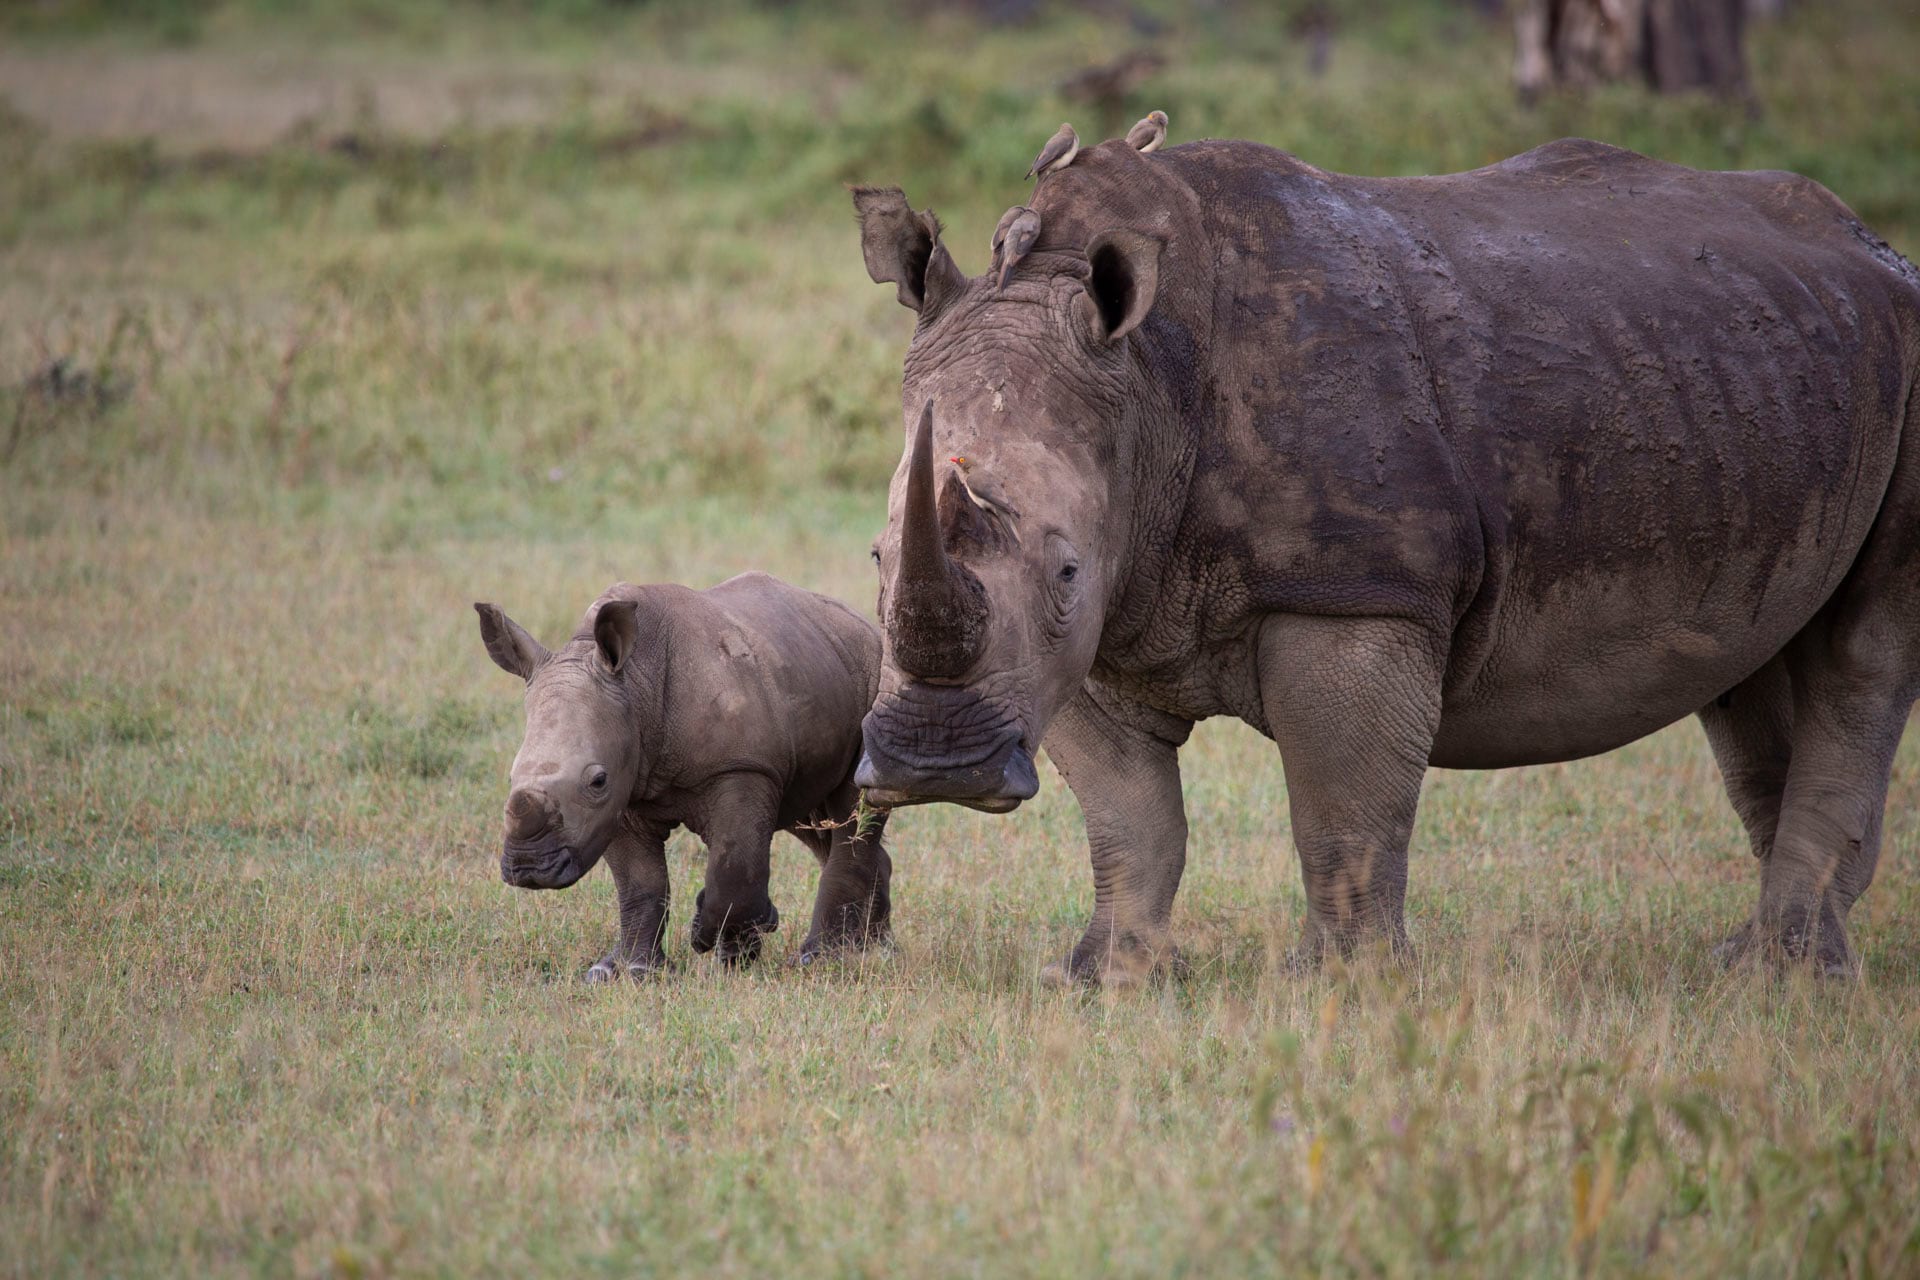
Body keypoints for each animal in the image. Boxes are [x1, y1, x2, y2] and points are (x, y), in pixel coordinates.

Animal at [480, 575, 898, 974]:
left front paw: (716, 939)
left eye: (596, 780)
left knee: (848, 813)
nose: (529, 869)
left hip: (873, 690)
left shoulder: (739, 767)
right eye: (510, 778)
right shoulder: (623, 789)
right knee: (809, 815)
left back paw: (822, 958)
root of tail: (864, 626)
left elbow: (732, 869)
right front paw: (626, 970)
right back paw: (874, 949)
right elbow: (640, 882)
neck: (636, 685)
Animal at [852, 135, 1920, 982]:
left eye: (1067, 571)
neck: (1145, 381)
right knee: (1755, 662)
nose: (932, 764)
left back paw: (1789, 975)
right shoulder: (1100, 624)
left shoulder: (1358, 590)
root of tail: (1877, 249)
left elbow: (1343, 806)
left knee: (1863, 653)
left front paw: (1345, 986)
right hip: (1754, 382)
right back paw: (1753, 962)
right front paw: (1107, 978)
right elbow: (1130, 818)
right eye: (876, 554)